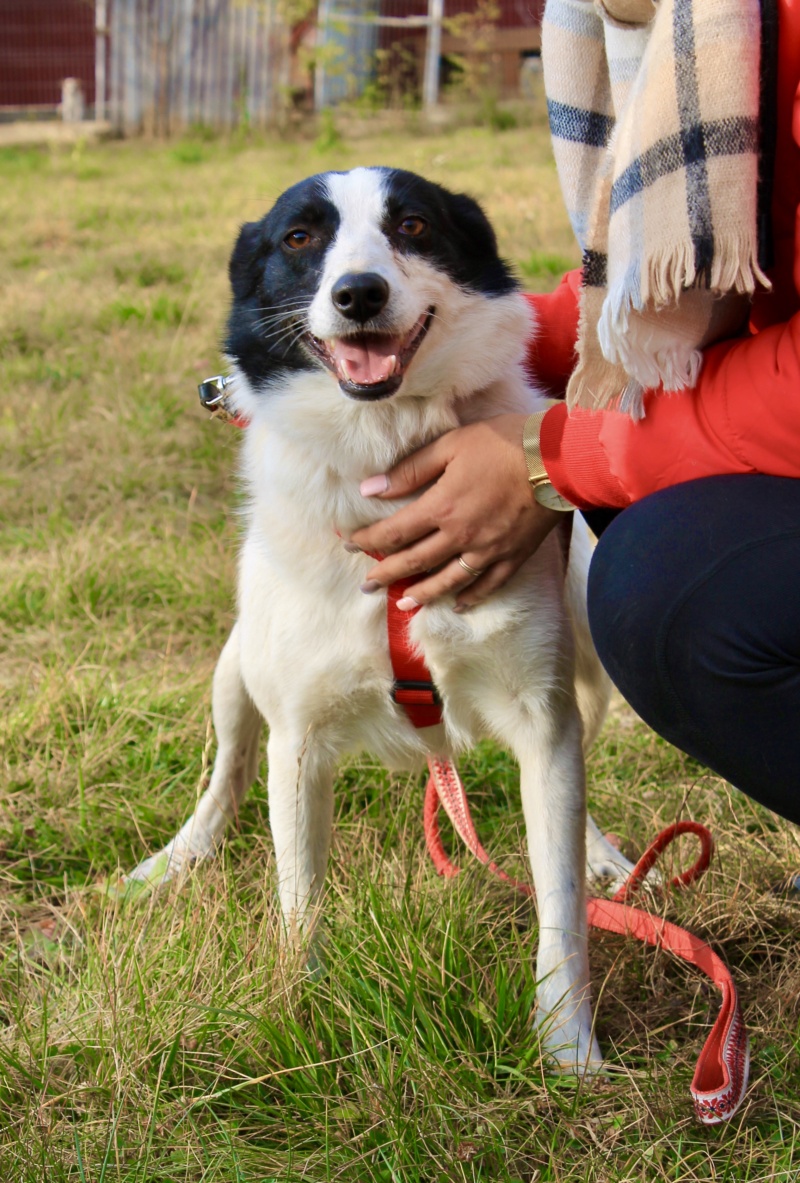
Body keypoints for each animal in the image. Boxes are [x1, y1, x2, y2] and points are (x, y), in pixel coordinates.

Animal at [128, 169, 634, 1074]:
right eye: (299, 238)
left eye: (413, 224)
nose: (359, 293)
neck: (381, 451)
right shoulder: (297, 740)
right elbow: (299, 899)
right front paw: (297, 1011)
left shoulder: (545, 716)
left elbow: (560, 898)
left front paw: (568, 1044)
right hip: (234, 668)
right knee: (226, 769)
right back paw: (180, 855)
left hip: (588, 651)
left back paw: (608, 855)